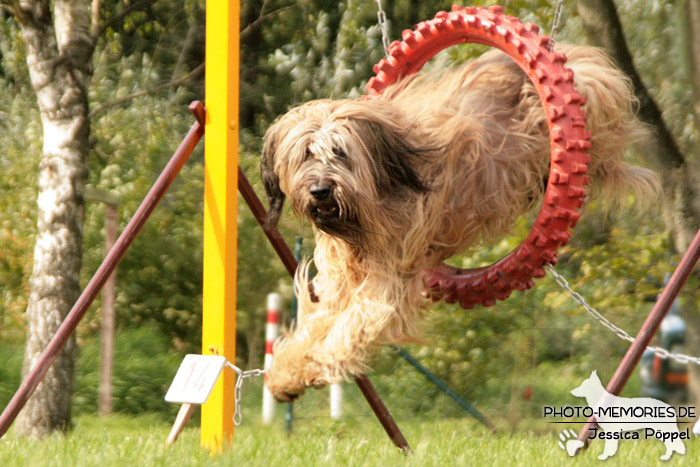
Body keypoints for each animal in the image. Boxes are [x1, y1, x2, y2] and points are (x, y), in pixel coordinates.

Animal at [260, 44, 660, 402]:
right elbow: (316, 319)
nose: (320, 190)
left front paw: (315, 364)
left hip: (588, 98)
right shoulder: (341, 276)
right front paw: (285, 375)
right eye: (305, 154)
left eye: (340, 153)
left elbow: (354, 324)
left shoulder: (391, 275)